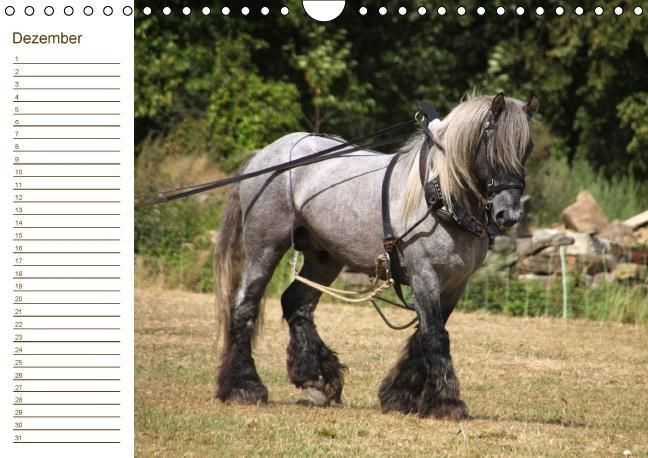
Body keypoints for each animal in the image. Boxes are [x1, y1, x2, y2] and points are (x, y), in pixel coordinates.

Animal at [213, 93, 538, 419]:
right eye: (492, 144)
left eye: (527, 147)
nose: (509, 214)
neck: (440, 196)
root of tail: (264, 154)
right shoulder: (425, 275)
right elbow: (434, 335)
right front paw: (447, 403)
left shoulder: (455, 283)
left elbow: (423, 335)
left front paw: (399, 395)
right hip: (264, 248)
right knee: (245, 306)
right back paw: (244, 386)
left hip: (324, 257)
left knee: (297, 303)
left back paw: (317, 379)